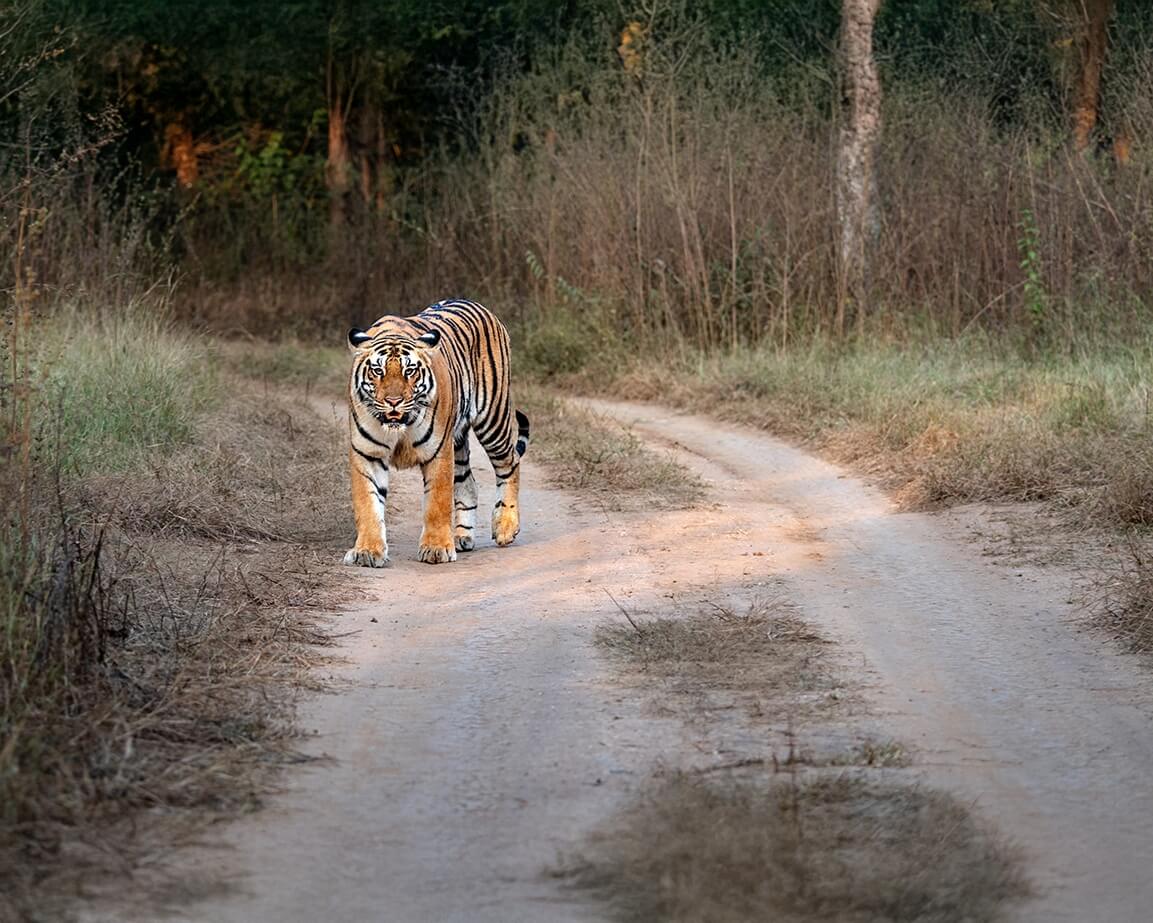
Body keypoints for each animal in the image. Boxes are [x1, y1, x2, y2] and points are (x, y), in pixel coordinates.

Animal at [343, 299, 530, 567]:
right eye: (377, 371)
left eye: (409, 371)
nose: (393, 402)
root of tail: (478, 305)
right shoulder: (367, 453)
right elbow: (367, 503)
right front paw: (367, 551)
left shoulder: (438, 451)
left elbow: (437, 502)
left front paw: (436, 548)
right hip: (459, 439)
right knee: (469, 483)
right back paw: (462, 537)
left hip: (493, 418)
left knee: (510, 463)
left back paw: (505, 527)